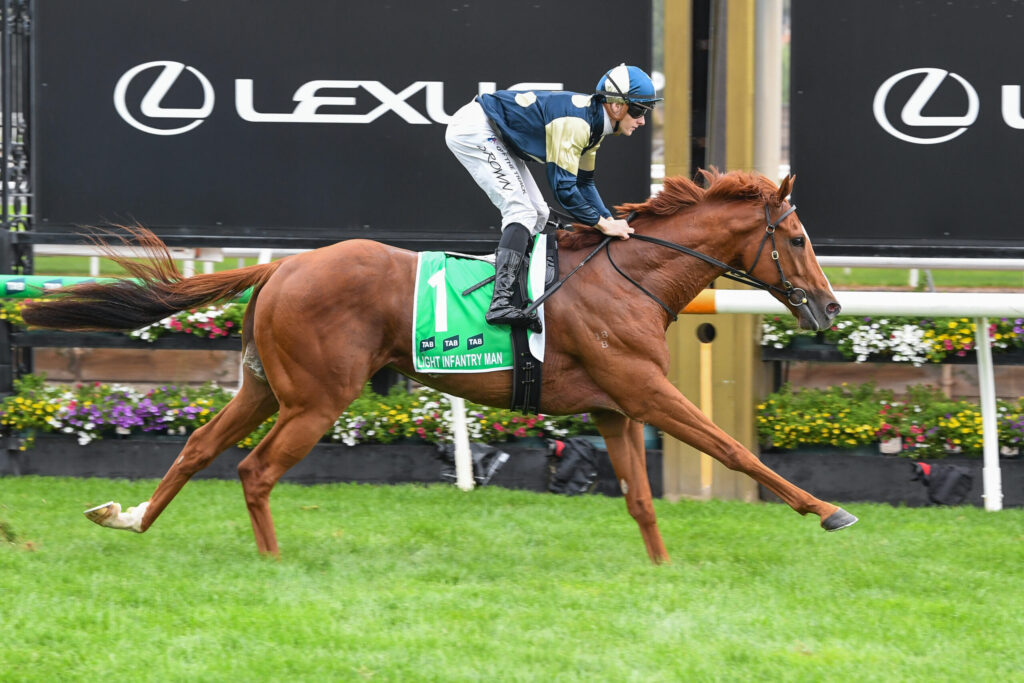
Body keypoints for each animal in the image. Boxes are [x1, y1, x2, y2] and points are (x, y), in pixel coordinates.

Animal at [21, 168, 855, 563]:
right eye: (800, 239)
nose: (829, 307)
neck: (631, 274)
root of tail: (280, 266)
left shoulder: (615, 407)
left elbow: (643, 501)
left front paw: (661, 570)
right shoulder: (645, 390)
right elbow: (735, 449)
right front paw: (828, 509)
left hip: (263, 387)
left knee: (197, 447)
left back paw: (129, 516)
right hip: (315, 400)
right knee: (255, 470)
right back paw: (272, 559)